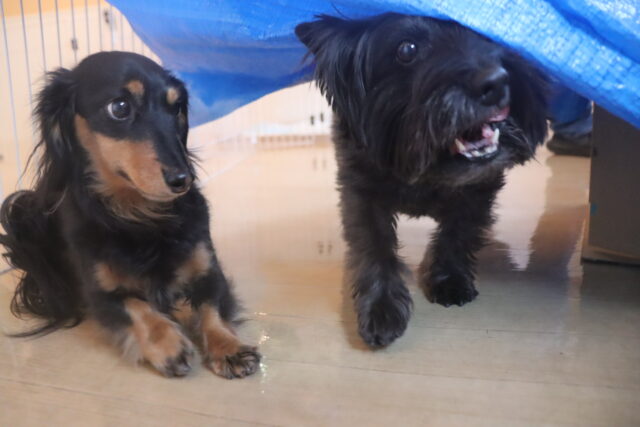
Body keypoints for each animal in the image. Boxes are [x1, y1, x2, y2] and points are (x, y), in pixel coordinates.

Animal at [0, 51, 261, 378]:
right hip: (22, 218)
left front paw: (228, 347)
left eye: (176, 108)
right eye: (120, 107)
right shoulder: (102, 293)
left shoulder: (208, 270)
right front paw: (170, 346)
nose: (183, 179)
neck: (140, 215)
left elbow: (211, 308)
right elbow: (138, 309)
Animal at [296, 13, 548, 347]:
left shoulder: (478, 192)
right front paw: (381, 308)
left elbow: (458, 233)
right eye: (407, 49)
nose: (495, 82)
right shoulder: (360, 192)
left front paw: (449, 279)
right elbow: (373, 245)